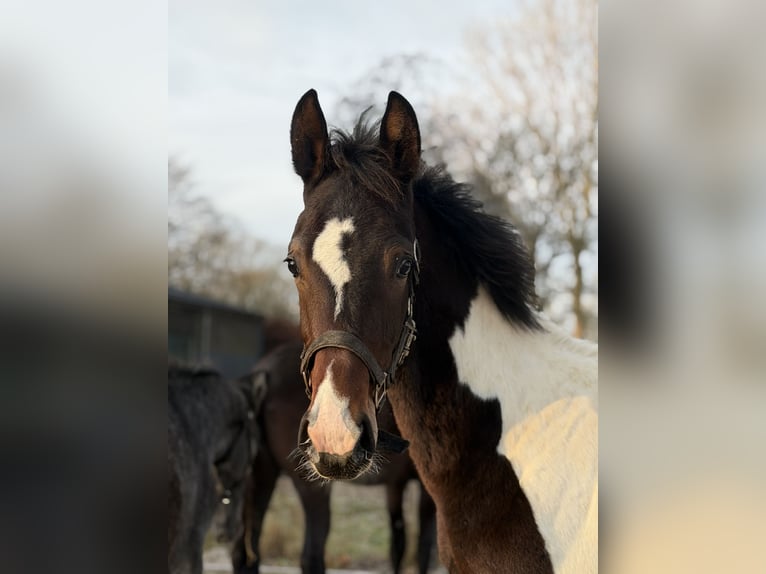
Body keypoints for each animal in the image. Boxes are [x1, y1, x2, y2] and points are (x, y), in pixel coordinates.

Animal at [231, 340, 437, 574]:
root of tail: (264, 373)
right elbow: (423, 547)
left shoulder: (395, 485)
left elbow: (398, 543)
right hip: (311, 486)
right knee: (311, 556)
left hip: (260, 475)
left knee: (245, 552)